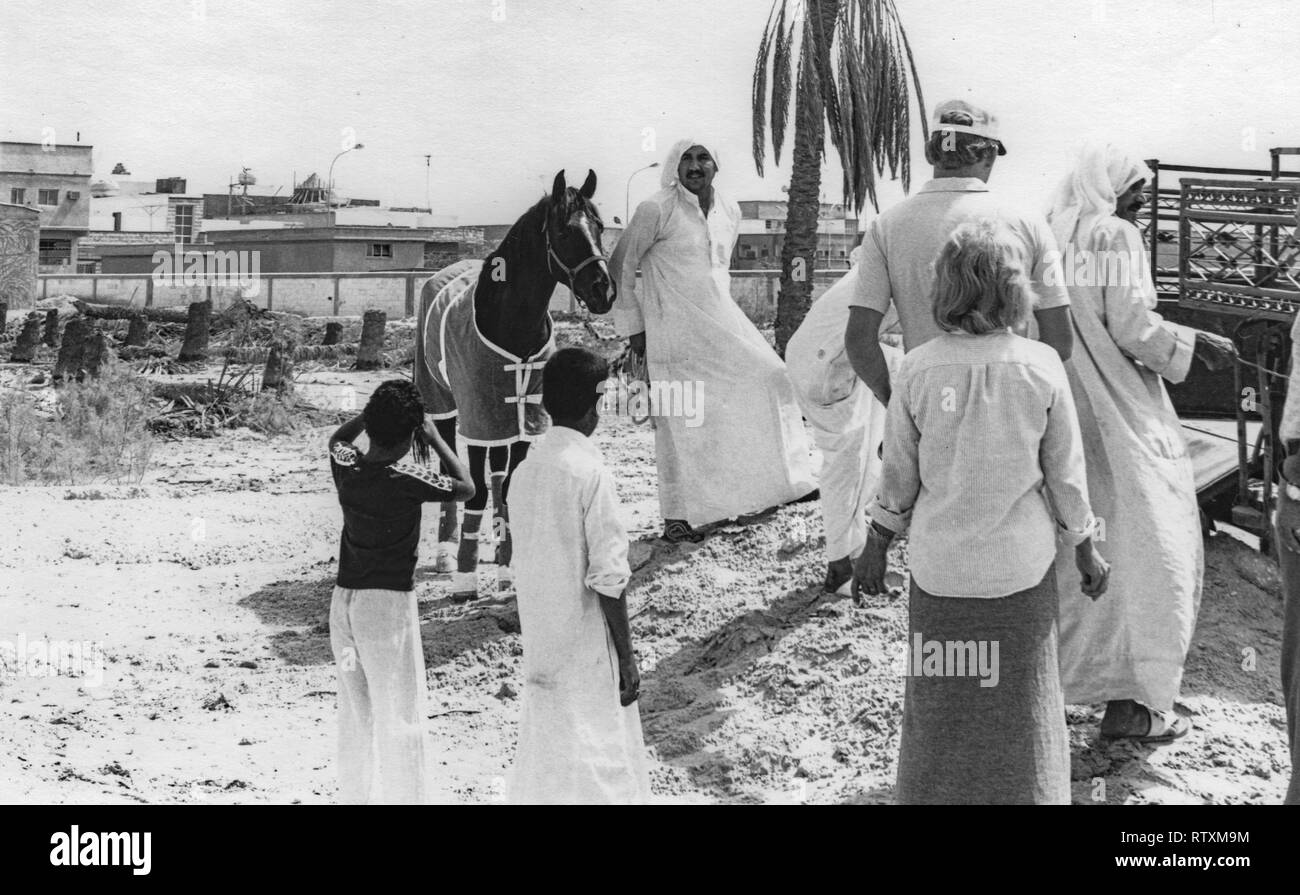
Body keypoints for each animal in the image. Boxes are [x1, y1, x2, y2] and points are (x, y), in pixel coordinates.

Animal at [418, 167, 616, 601]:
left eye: (599, 226)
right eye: (564, 231)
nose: (604, 290)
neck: (510, 320)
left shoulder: (526, 419)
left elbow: (506, 486)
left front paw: (509, 570)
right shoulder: (478, 416)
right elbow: (475, 487)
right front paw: (466, 577)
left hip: (502, 420)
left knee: (496, 475)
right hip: (444, 400)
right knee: (452, 463)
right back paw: (445, 553)